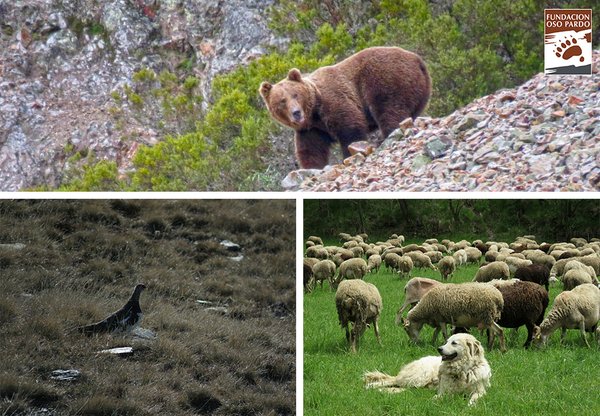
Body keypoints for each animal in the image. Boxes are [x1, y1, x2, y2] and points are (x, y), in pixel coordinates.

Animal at [258, 46, 432, 169]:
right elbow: (310, 149)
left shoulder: (334, 102)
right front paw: (312, 167)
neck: (314, 112)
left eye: (295, 95)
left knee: (389, 111)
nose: (296, 113)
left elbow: (350, 129)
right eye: (282, 101)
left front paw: (349, 155)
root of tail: (417, 59)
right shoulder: (311, 129)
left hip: (386, 80)